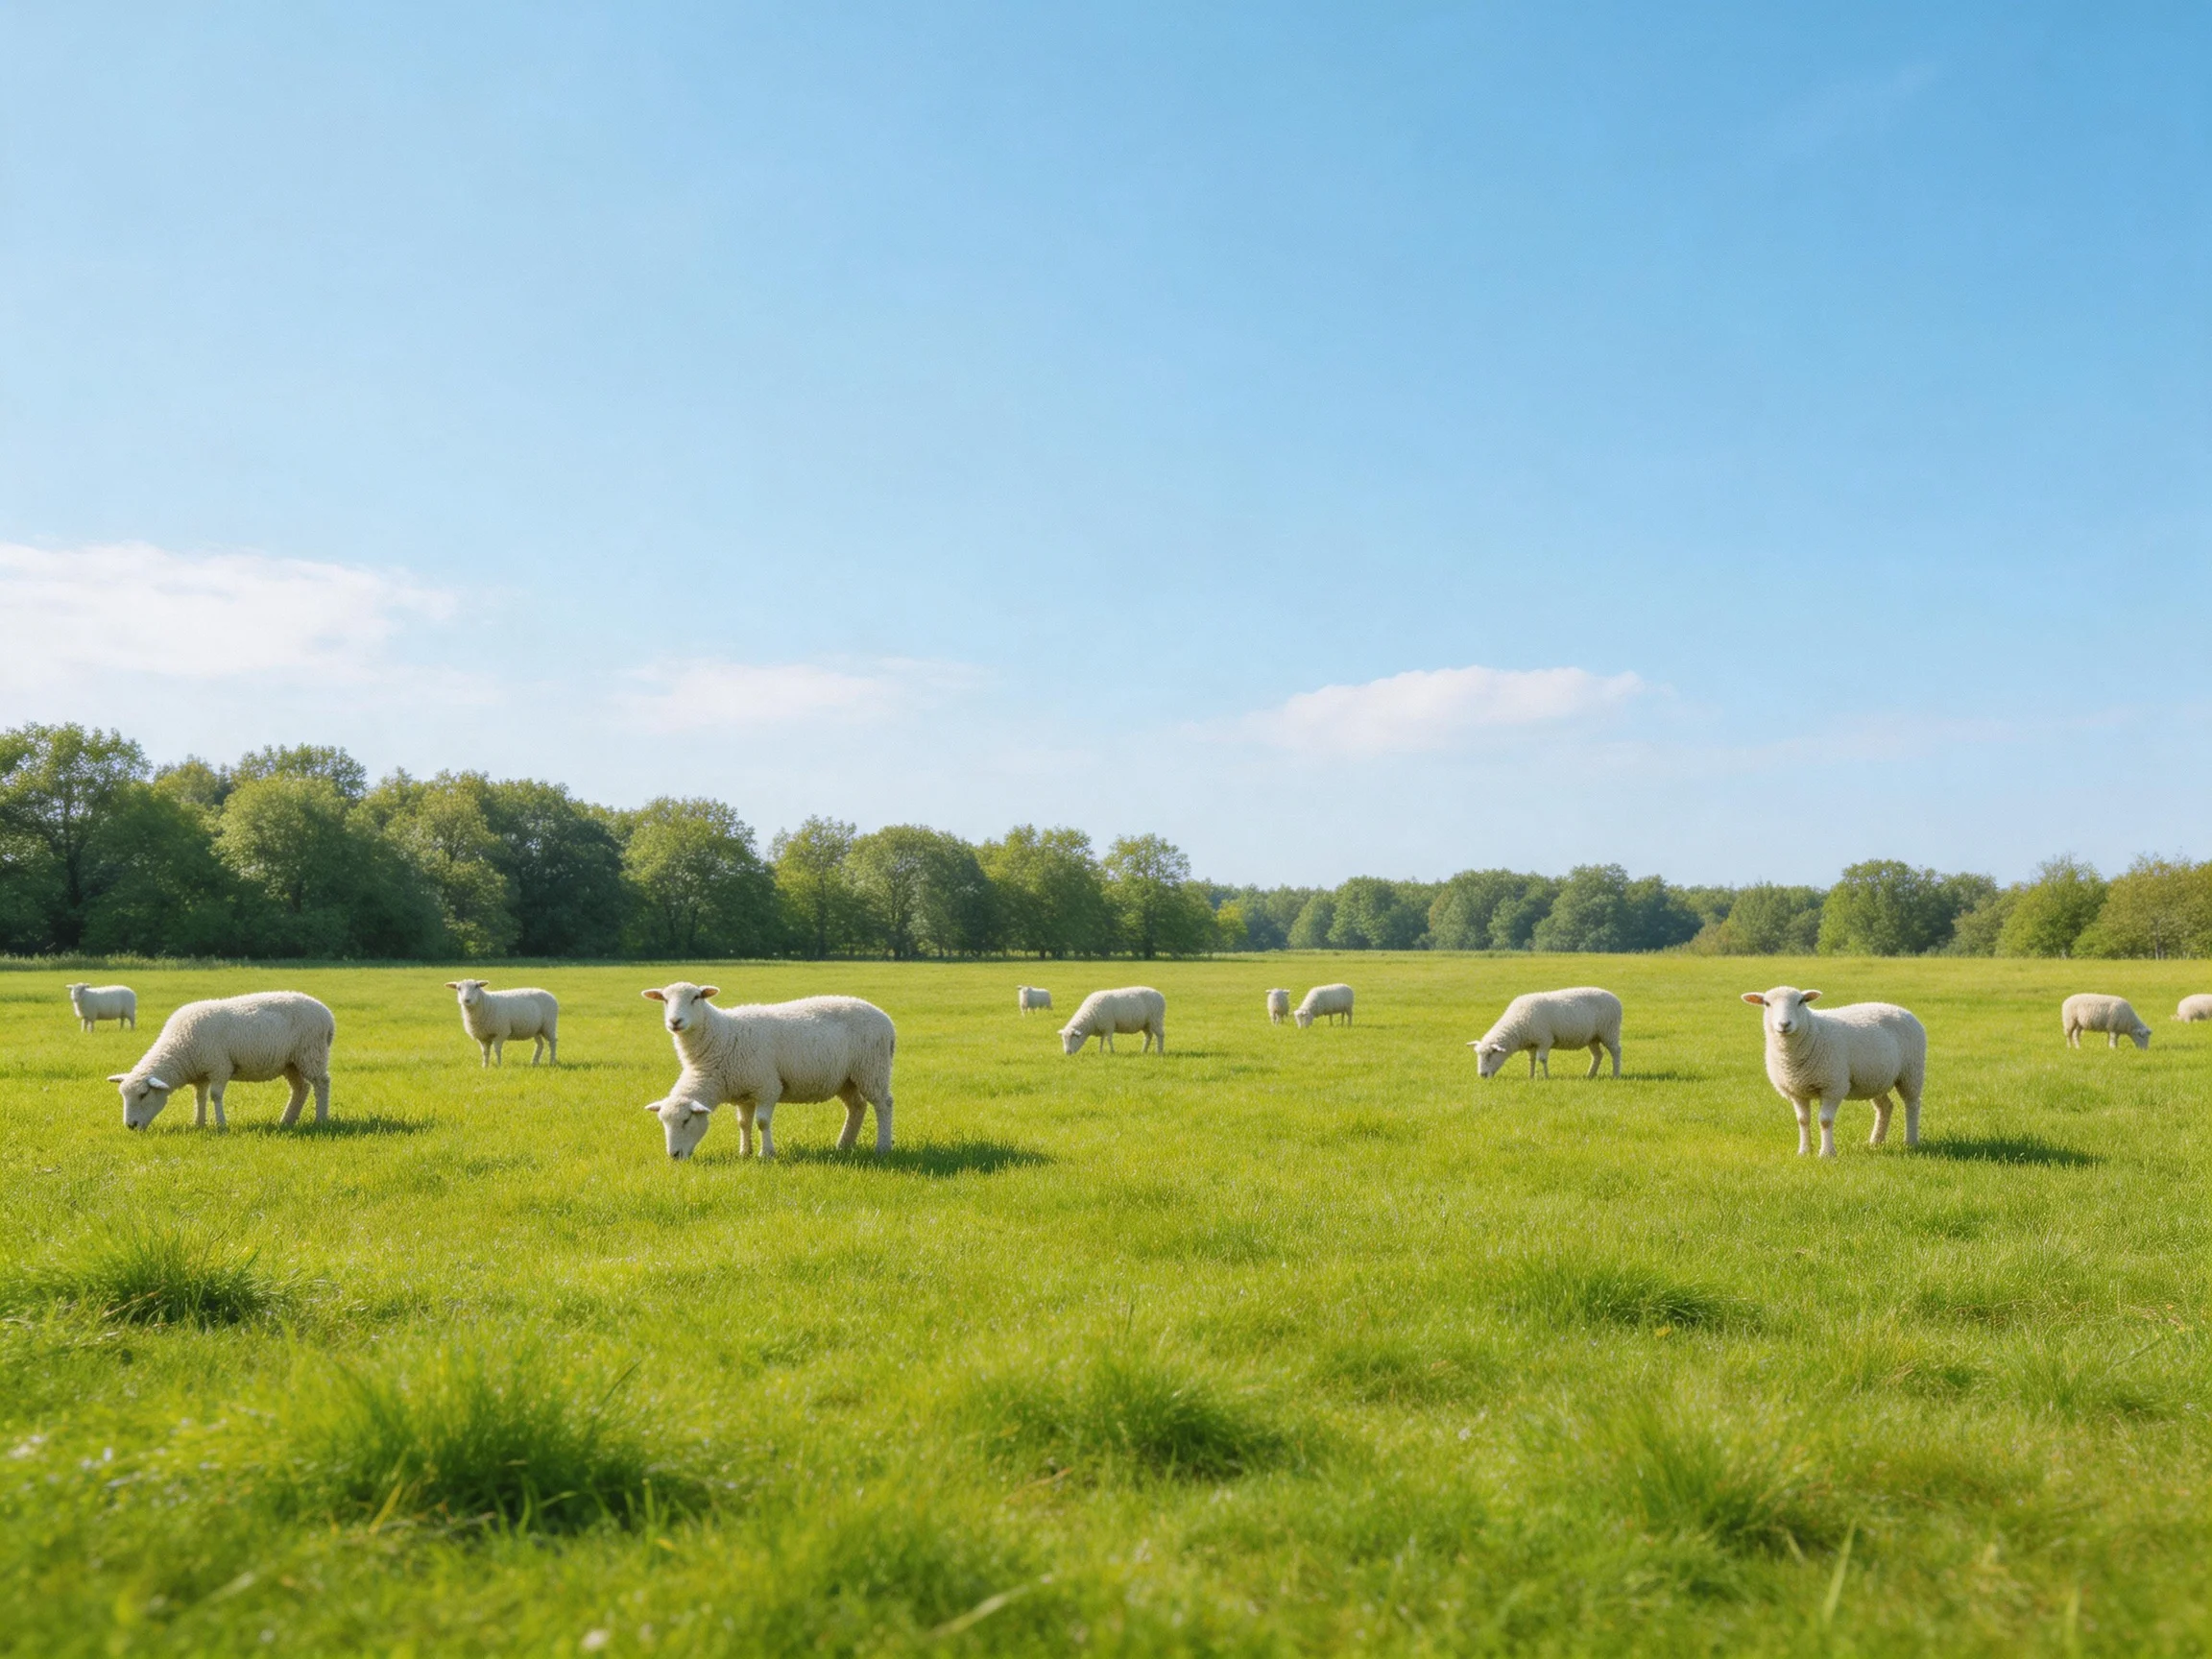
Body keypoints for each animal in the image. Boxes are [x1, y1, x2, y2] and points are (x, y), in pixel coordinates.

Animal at [107, 991, 335, 1131]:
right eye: (123, 1096)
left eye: (143, 1094)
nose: (131, 1125)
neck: (180, 1047)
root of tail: (327, 1013)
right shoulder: (200, 1073)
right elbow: (199, 1097)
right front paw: (199, 1124)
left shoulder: (219, 1067)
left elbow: (215, 1096)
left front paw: (221, 1125)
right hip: (291, 1062)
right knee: (301, 1088)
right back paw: (287, 1120)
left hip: (311, 1052)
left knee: (321, 1083)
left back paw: (320, 1119)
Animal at [640, 981, 894, 1161]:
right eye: (664, 1000)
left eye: (686, 1121)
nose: (674, 1156)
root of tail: (884, 1017)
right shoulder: (743, 1091)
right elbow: (744, 1123)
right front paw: (745, 1152)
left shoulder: (767, 1087)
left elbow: (762, 1122)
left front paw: (767, 1154)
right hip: (846, 1078)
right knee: (857, 1106)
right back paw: (843, 1145)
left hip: (873, 1068)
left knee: (883, 1104)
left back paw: (882, 1147)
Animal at [1470, 988, 1621, 1079]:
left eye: (1490, 1054)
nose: (1482, 1074)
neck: (1517, 1024)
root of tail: (1615, 997)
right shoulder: (1531, 1043)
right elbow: (1531, 1060)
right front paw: (1531, 1076)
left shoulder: (1545, 1040)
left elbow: (1542, 1059)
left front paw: (1546, 1077)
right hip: (1593, 1037)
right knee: (1597, 1055)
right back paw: (1590, 1075)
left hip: (1609, 1031)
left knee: (1616, 1051)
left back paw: (1615, 1074)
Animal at [1740, 986, 1924, 1158]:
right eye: (1767, 1003)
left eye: (1801, 1001)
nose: (1784, 1024)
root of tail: (1899, 1008)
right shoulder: (1797, 1091)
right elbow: (1803, 1120)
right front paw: (1804, 1151)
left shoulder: (1832, 1087)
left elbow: (1825, 1121)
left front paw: (1827, 1153)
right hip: (1874, 1079)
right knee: (1885, 1106)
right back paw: (1876, 1142)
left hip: (1911, 1072)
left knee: (1912, 1104)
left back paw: (1911, 1141)